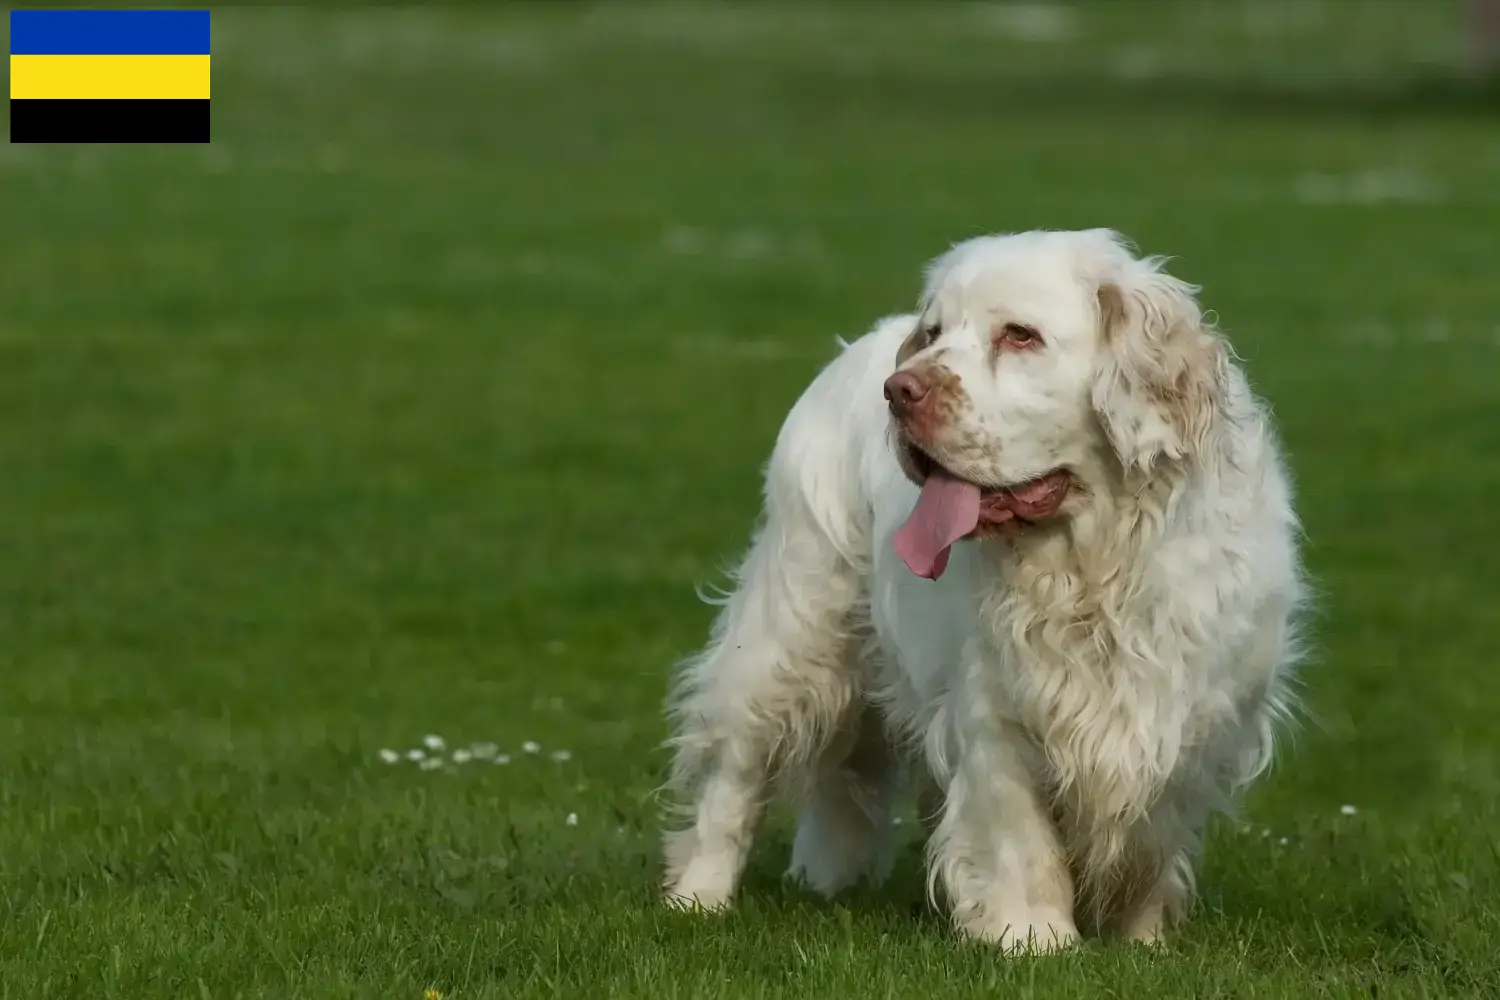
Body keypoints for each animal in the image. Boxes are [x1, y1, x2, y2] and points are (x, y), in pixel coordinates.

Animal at [663, 229, 1308, 953]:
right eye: (934, 333)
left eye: (1020, 336)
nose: (900, 390)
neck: (1091, 564)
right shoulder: (993, 706)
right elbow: (1017, 834)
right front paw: (1033, 938)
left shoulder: (1192, 715)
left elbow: (1152, 834)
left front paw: (1140, 938)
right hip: (792, 628)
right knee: (734, 770)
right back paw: (699, 896)